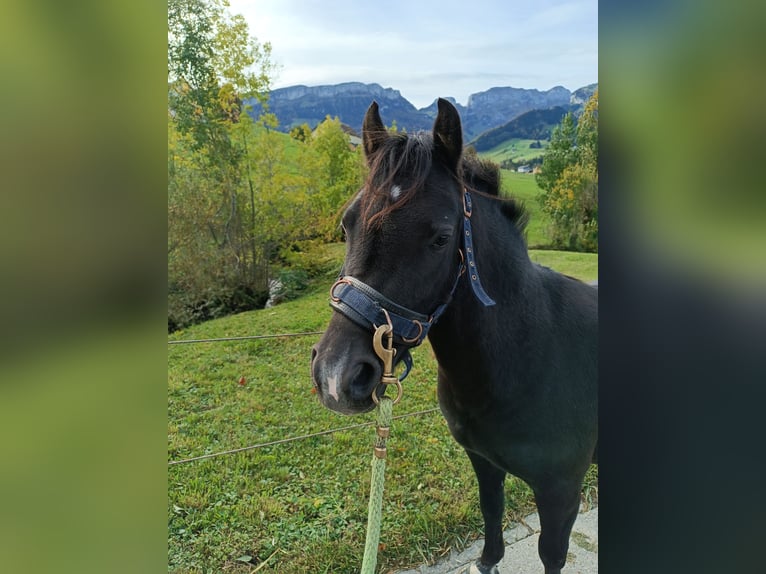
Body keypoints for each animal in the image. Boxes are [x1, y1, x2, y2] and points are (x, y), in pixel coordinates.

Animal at [314, 100, 600, 574]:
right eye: (346, 224)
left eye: (441, 238)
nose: (335, 376)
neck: (530, 354)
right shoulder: (484, 463)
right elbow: (491, 515)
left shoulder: (561, 494)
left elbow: (551, 554)